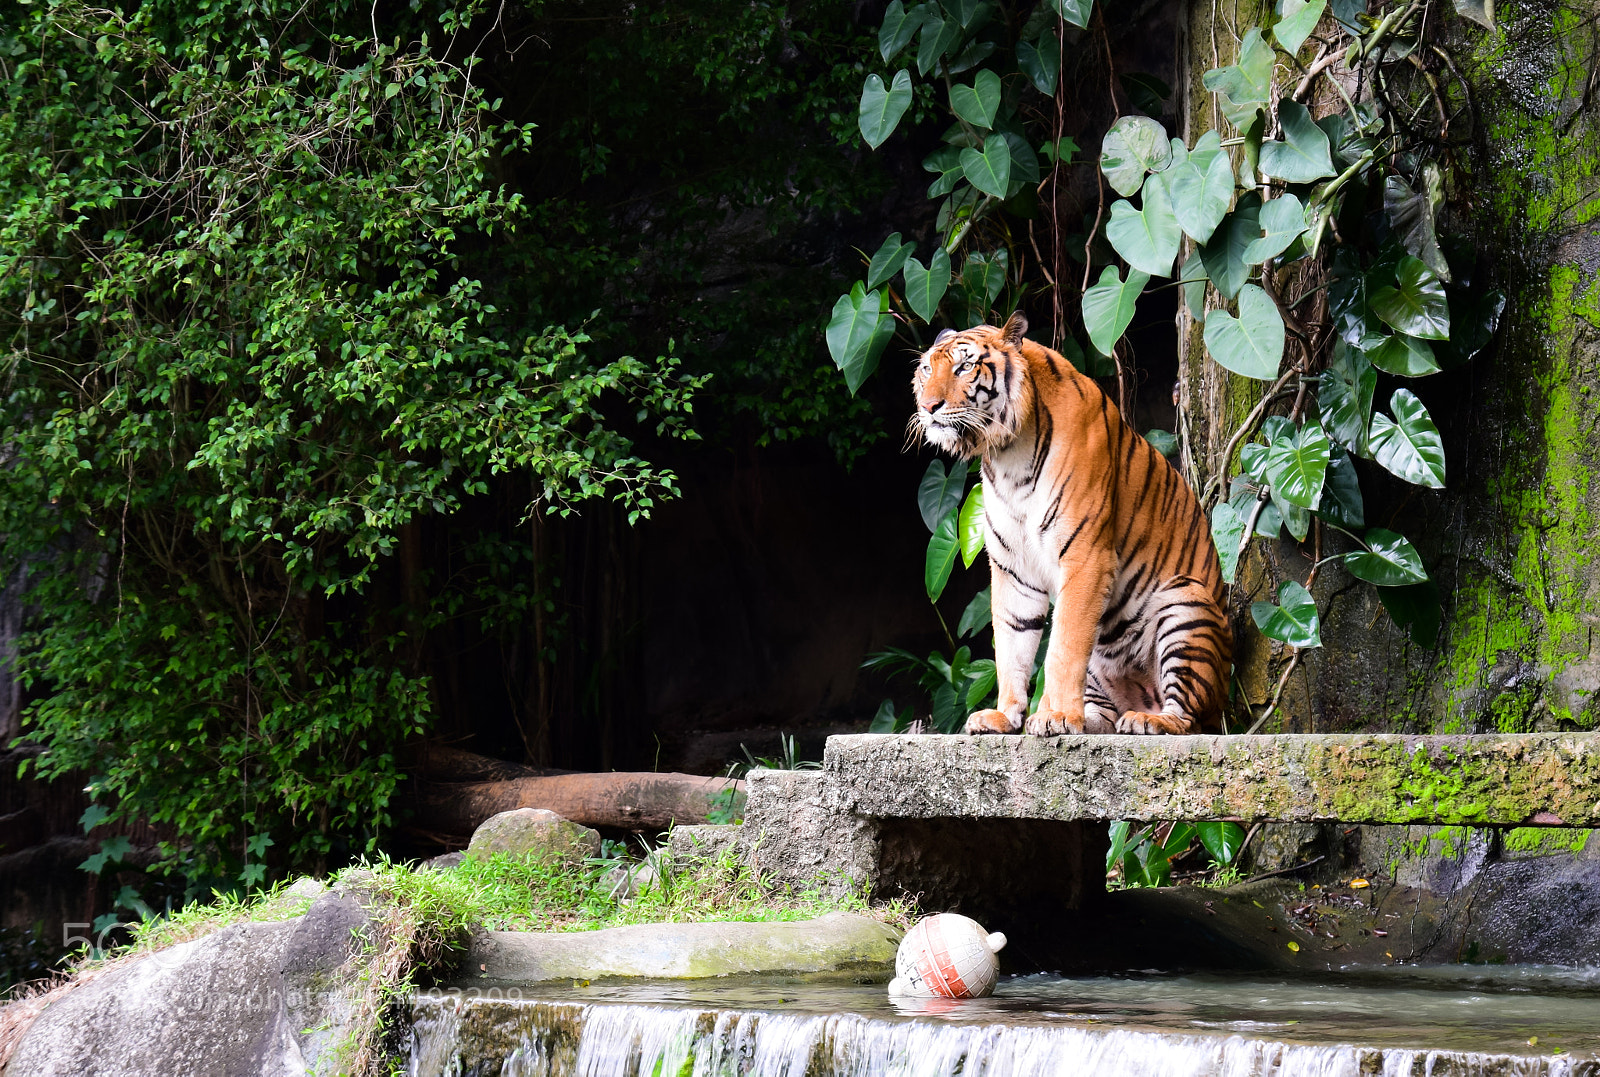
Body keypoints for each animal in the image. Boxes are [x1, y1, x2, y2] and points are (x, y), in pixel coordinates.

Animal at [912, 311, 1231, 736]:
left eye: (964, 367)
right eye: (927, 370)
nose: (929, 406)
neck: (1007, 456)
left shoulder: (1085, 556)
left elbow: (1064, 643)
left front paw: (1058, 714)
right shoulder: (1013, 568)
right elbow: (1011, 644)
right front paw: (1006, 716)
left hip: (1185, 602)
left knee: (1188, 719)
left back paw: (1147, 720)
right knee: (1106, 717)